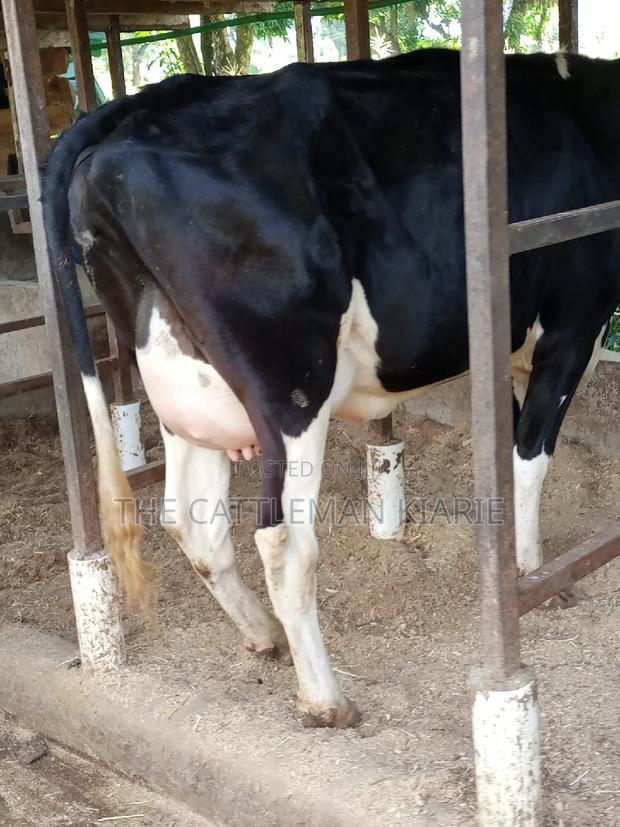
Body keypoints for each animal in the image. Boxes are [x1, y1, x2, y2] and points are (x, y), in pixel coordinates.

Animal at [42, 49, 619, 728]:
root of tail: (129, 115)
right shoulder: (573, 328)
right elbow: (530, 457)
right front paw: (536, 574)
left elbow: (506, 453)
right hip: (292, 385)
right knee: (285, 541)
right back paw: (325, 698)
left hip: (179, 385)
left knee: (192, 520)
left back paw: (262, 635)